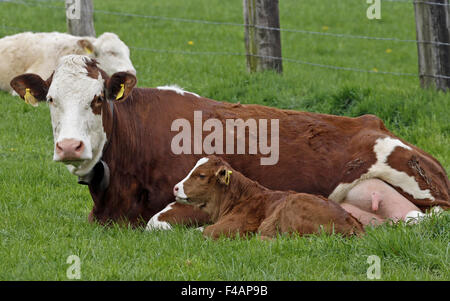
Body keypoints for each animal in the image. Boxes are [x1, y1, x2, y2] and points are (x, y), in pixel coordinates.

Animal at [8, 54, 448, 227]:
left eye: (98, 99)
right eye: (51, 99)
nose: (70, 147)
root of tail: (374, 122)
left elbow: (156, 222)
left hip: (415, 177)